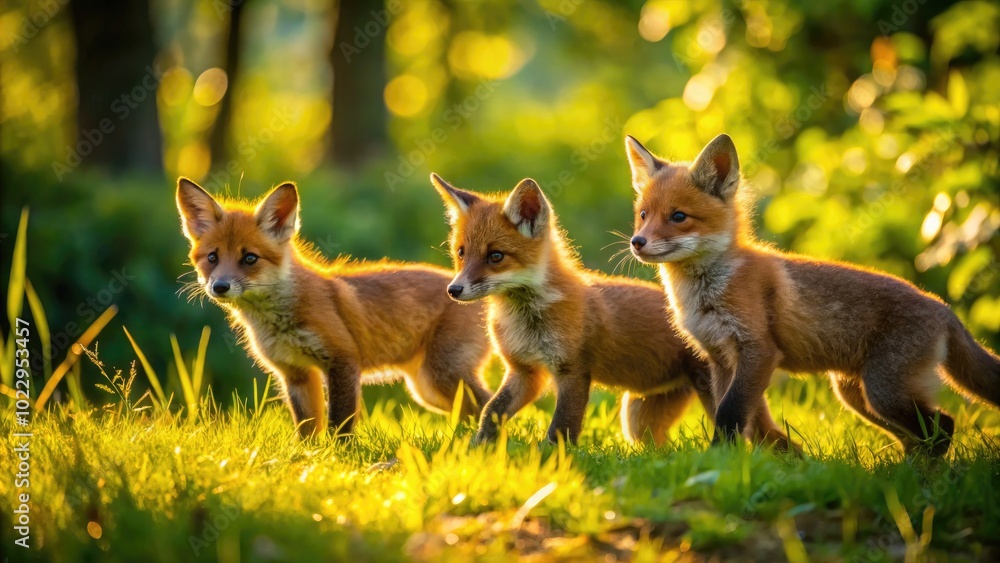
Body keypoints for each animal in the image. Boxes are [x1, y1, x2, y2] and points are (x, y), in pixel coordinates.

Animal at [175, 177, 493, 438]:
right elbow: (307, 428)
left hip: (442, 375)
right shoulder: (296, 373)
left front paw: (338, 458)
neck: (279, 320)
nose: (220, 286)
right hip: (428, 389)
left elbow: (339, 424)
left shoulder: (343, 360)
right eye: (213, 257)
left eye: (250, 258)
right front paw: (307, 459)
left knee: (488, 403)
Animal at [430, 173, 714, 445]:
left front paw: (553, 458)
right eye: (461, 253)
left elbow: (562, 426)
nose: (453, 290)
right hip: (637, 417)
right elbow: (491, 410)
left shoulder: (573, 369)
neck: (528, 320)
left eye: (495, 256)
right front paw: (478, 448)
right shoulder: (524, 371)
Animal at [625, 133, 1000, 455]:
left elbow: (730, 413)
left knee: (944, 427)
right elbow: (735, 414)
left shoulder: (758, 349)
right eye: (643, 215)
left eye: (678, 216)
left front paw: (718, 460)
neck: (706, 291)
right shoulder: (719, 358)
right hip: (858, 396)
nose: (637, 242)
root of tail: (943, 307)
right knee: (919, 437)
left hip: (883, 391)